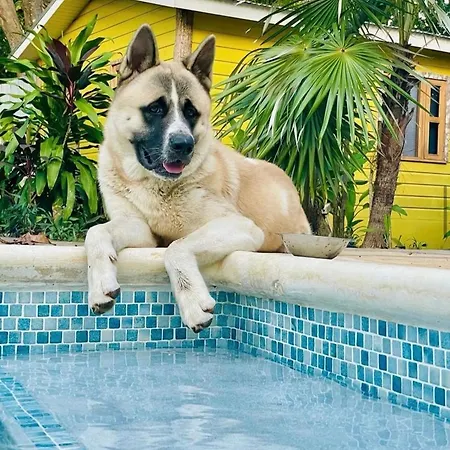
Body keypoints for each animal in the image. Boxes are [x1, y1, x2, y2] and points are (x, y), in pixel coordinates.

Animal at [85, 25, 311, 332]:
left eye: (191, 112)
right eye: (155, 108)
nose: (184, 145)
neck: (153, 184)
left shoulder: (240, 226)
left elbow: (177, 248)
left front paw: (193, 304)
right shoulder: (139, 229)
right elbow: (96, 232)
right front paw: (100, 285)